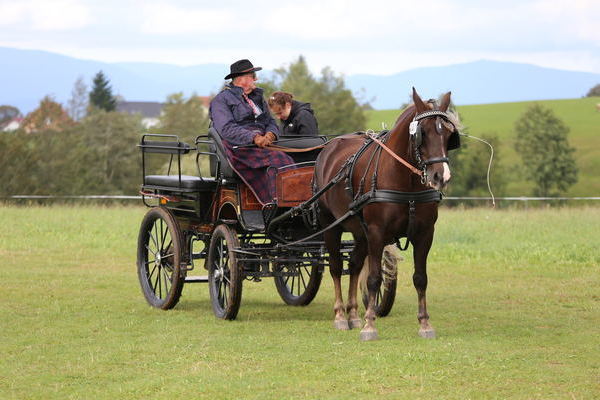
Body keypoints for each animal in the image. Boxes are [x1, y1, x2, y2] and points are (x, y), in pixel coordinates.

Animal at [314, 87, 460, 340]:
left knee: (354, 265)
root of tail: (330, 147)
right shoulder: (377, 233)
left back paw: (354, 314)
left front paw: (425, 324)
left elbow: (421, 278)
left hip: (359, 231)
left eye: (449, 133)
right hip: (330, 225)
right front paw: (370, 325)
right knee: (335, 267)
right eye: (422, 132)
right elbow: (374, 279)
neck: (406, 183)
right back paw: (341, 315)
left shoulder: (424, 234)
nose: (441, 176)